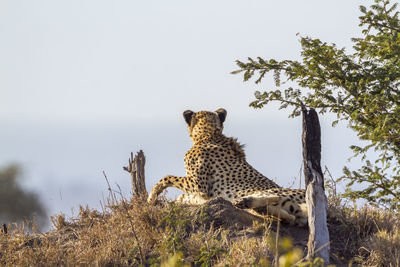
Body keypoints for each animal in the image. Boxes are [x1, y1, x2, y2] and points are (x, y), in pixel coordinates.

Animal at [148, 109, 308, 226]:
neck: (208, 134)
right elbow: (183, 197)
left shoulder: (199, 186)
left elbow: (168, 177)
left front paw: (153, 195)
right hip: (291, 209)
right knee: (293, 217)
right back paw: (252, 205)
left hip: (268, 191)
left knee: (278, 201)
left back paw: (245, 202)